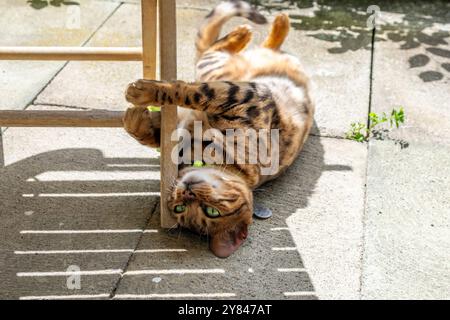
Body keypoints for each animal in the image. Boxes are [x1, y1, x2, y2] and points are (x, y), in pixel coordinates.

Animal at [123, 0, 312, 258]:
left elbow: (189, 92)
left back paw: (252, 31)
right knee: (233, 47)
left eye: (210, 212)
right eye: (180, 207)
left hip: (219, 70)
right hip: (228, 68)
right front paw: (136, 118)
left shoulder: (246, 96)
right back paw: (263, 28)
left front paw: (142, 93)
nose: (186, 192)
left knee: (210, 51)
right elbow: (151, 131)